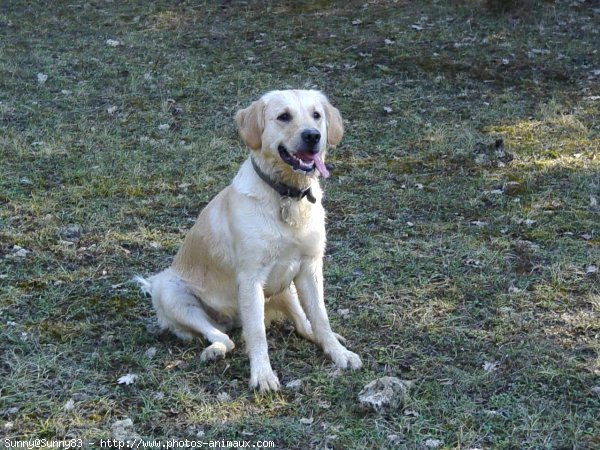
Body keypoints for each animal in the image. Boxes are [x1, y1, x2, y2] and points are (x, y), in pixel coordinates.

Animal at [136, 90, 360, 390]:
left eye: (316, 115)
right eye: (284, 116)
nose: (313, 136)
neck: (287, 195)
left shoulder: (310, 267)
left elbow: (320, 318)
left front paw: (338, 353)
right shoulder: (251, 277)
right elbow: (256, 333)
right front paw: (263, 375)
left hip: (286, 288)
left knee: (303, 325)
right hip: (168, 289)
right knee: (224, 337)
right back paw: (214, 349)